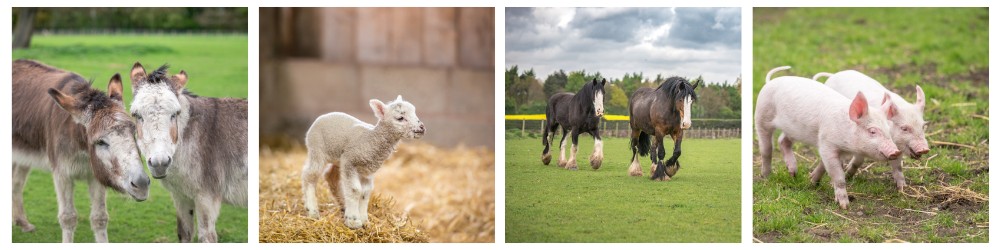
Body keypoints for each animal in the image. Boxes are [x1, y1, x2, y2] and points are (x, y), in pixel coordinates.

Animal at [11, 59, 150, 242]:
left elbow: (100, 218)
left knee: (16, 183)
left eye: (134, 133)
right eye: (100, 142)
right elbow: (68, 217)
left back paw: (22, 223)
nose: (141, 184)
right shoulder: (62, 174)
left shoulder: (97, 173)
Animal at [127, 62, 248, 242]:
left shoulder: (207, 198)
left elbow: (207, 237)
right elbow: (184, 233)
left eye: (175, 114)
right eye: (137, 115)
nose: (160, 164)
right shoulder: (181, 196)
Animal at [296, 95, 422, 229]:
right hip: (317, 149)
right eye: (400, 118)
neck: (371, 139)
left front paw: (364, 221)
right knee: (309, 175)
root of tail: (322, 116)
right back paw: (312, 211)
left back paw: (343, 205)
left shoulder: (367, 170)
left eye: (414, 113)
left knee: (330, 176)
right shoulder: (350, 161)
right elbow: (355, 190)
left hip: (338, 160)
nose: (422, 128)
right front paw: (353, 221)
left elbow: (365, 193)